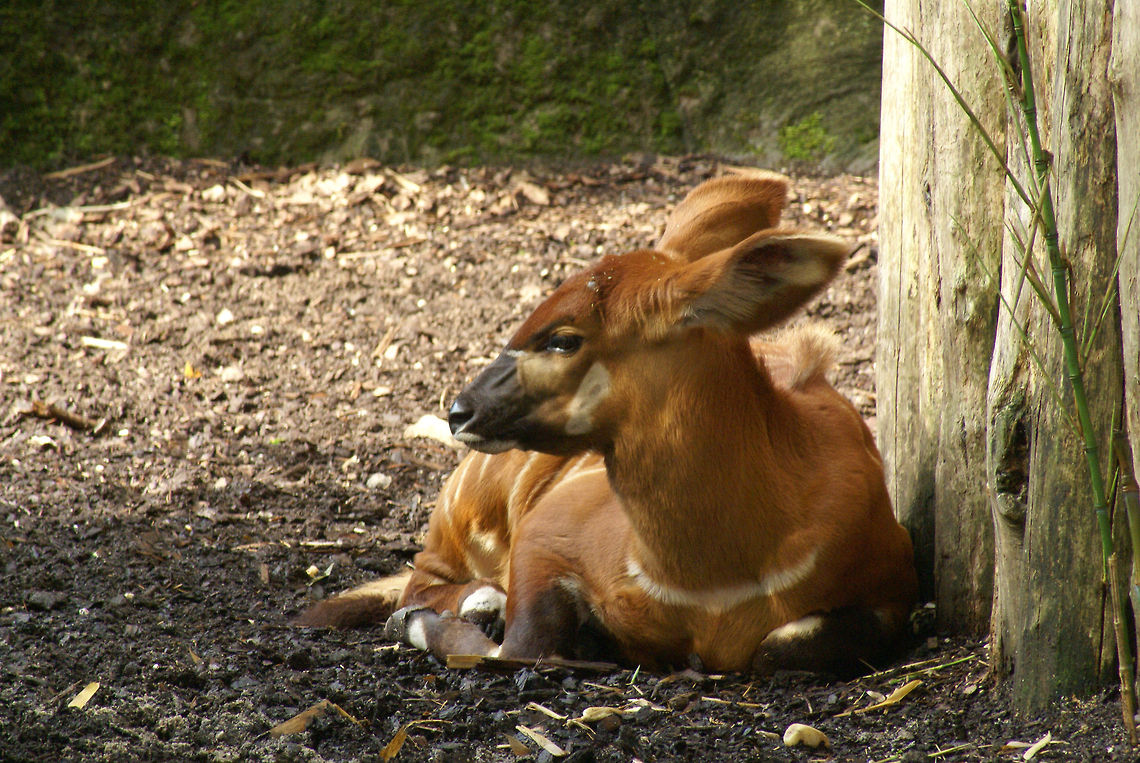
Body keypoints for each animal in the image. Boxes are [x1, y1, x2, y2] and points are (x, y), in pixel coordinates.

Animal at [298, 173, 917, 675]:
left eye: (563, 338)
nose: (459, 411)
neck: (716, 579)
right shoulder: (545, 537)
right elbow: (516, 648)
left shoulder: (890, 590)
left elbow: (780, 645)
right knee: (419, 580)